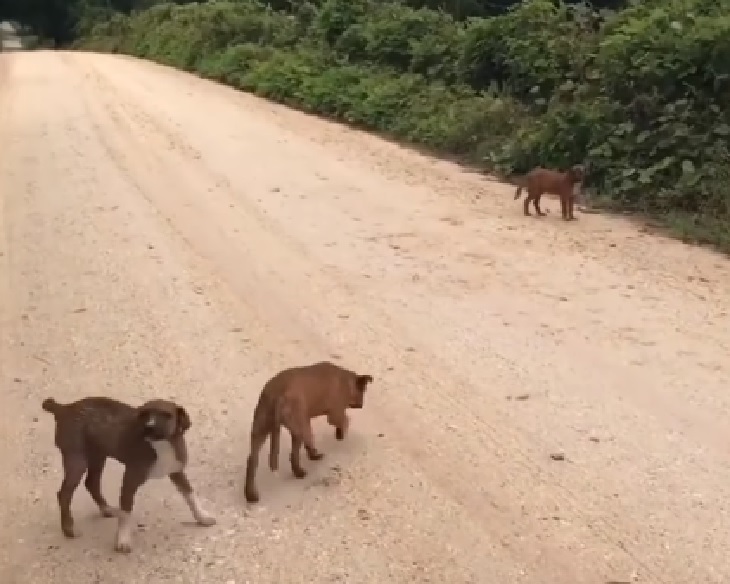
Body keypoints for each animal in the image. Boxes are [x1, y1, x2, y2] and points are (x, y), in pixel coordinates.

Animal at [245, 360, 372, 502]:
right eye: (363, 390)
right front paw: (340, 434)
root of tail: (279, 396)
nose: (361, 405)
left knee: (253, 460)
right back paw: (310, 461)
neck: (346, 381)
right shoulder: (335, 415)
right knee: (297, 451)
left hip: (262, 428)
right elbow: (345, 421)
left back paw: (251, 495)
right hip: (300, 427)